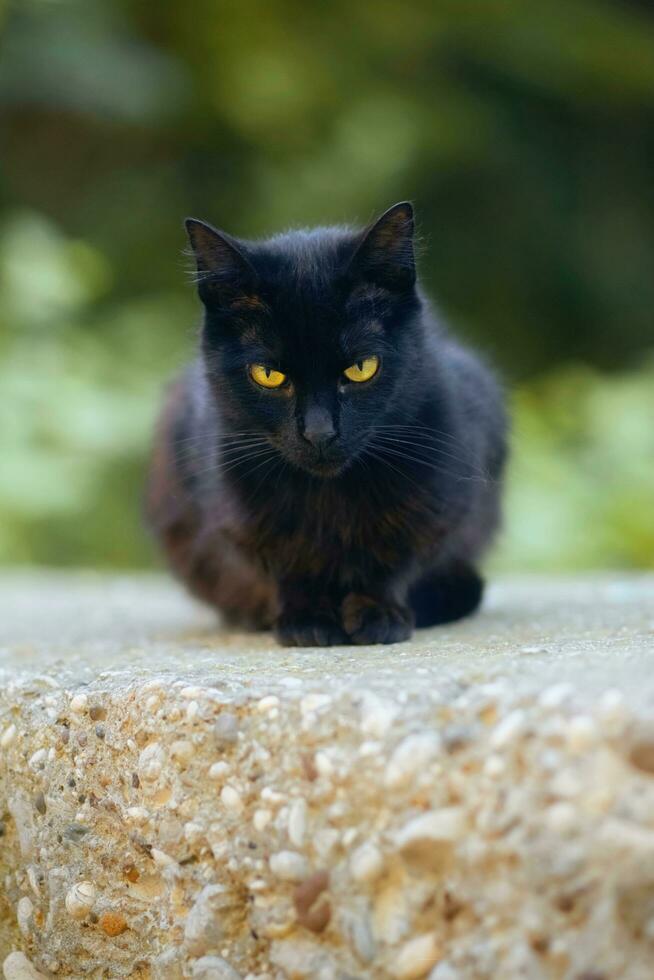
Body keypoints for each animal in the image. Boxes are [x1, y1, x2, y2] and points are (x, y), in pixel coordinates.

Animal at [146, 203, 510, 648]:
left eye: (361, 368)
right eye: (268, 375)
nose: (319, 432)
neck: (329, 500)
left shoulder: (440, 501)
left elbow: (397, 556)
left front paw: (378, 613)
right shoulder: (237, 519)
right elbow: (284, 564)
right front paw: (307, 620)